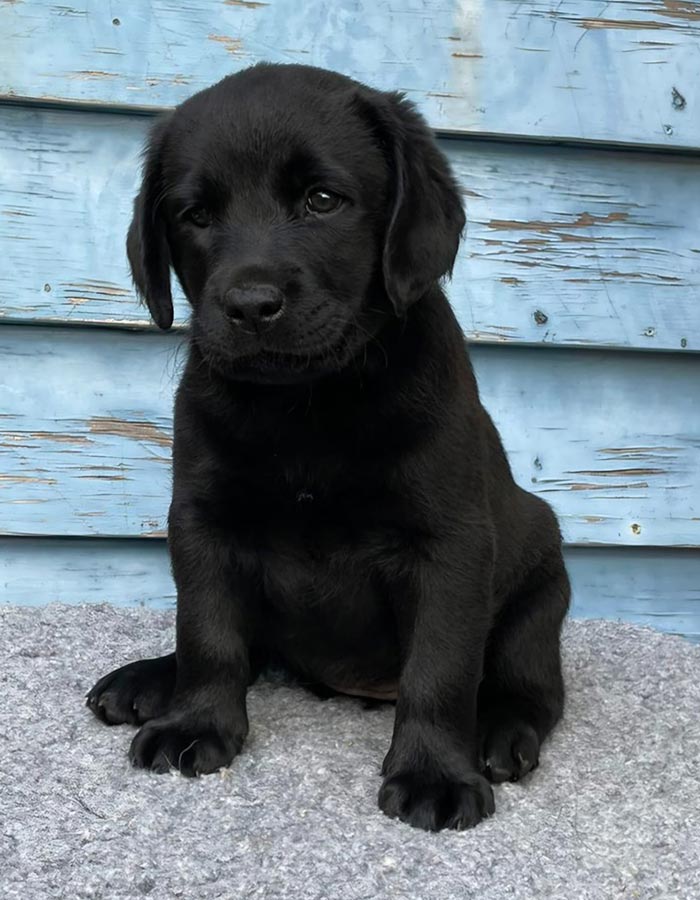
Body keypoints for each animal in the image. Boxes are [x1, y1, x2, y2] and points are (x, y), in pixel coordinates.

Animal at [86, 63, 570, 832]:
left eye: (322, 200)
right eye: (195, 216)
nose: (250, 305)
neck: (306, 403)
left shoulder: (451, 544)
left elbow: (440, 668)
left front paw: (434, 772)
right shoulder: (202, 523)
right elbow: (208, 634)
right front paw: (196, 722)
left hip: (539, 595)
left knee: (533, 689)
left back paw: (499, 732)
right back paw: (149, 680)